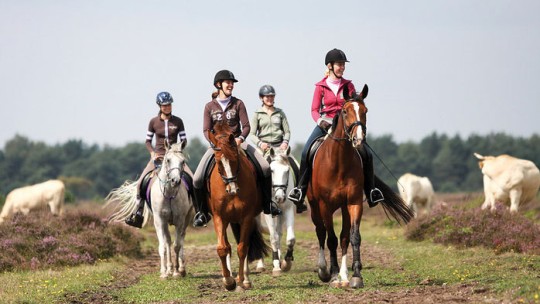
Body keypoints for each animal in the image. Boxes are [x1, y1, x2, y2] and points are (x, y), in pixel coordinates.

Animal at [104, 144, 193, 280]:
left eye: (183, 161)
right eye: (168, 160)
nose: (175, 181)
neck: (169, 194)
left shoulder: (179, 220)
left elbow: (177, 245)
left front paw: (177, 272)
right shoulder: (159, 220)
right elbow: (163, 246)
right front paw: (164, 273)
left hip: (186, 218)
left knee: (181, 238)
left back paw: (181, 269)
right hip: (165, 222)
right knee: (167, 241)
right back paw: (169, 269)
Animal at [206, 120, 268, 290]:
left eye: (235, 159)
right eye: (219, 163)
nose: (232, 190)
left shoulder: (246, 217)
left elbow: (242, 248)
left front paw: (242, 280)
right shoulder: (219, 217)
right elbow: (222, 248)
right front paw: (228, 281)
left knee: (244, 245)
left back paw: (245, 278)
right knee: (227, 245)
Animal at [255, 146, 298, 276]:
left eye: (287, 170)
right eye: (272, 170)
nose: (279, 197)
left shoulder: (287, 209)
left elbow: (290, 239)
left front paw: (286, 263)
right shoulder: (268, 212)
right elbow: (273, 238)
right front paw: (276, 267)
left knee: (279, 234)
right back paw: (260, 265)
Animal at [308, 84, 414, 288]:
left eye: (365, 111)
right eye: (344, 111)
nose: (358, 140)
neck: (339, 162)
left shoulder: (354, 202)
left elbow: (353, 237)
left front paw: (355, 276)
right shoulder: (325, 205)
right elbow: (330, 239)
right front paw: (333, 275)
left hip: (343, 207)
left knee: (343, 237)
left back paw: (344, 275)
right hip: (315, 206)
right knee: (321, 232)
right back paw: (324, 270)